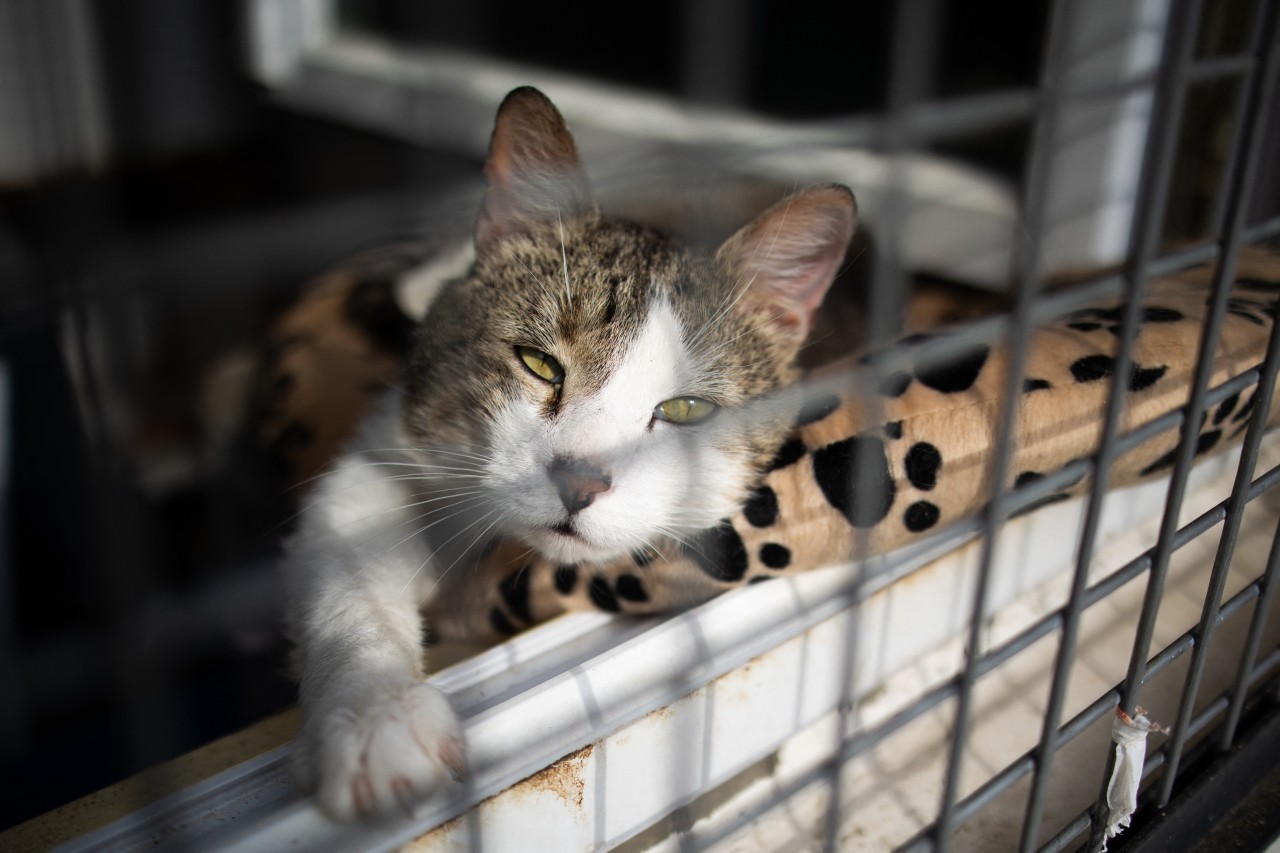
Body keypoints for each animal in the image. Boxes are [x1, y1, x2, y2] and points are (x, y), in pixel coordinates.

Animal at [285, 84, 855, 819]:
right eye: (539, 363)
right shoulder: (388, 448)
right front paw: (376, 717)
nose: (579, 482)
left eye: (686, 410)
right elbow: (352, 569)